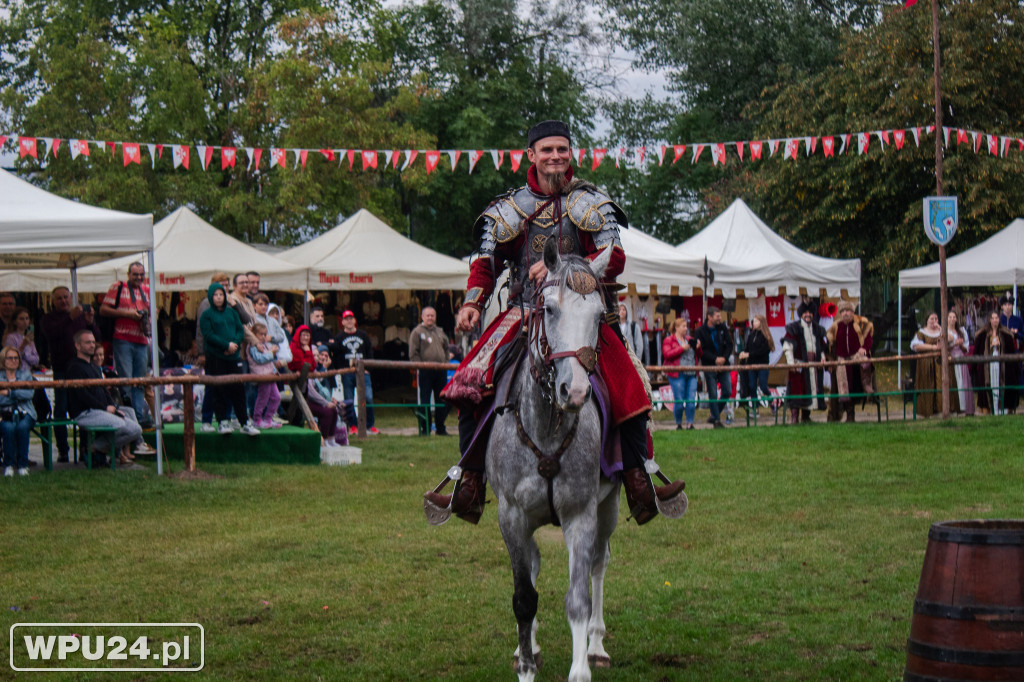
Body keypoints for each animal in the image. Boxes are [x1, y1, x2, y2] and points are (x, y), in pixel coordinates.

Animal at [485, 238, 618, 679]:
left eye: (599, 315)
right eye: (550, 309)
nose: (573, 391)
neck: (545, 428)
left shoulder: (581, 513)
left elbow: (578, 598)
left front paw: (581, 667)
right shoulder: (511, 516)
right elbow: (524, 597)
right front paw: (526, 664)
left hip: (609, 506)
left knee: (598, 564)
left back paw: (596, 644)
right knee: (534, 566)